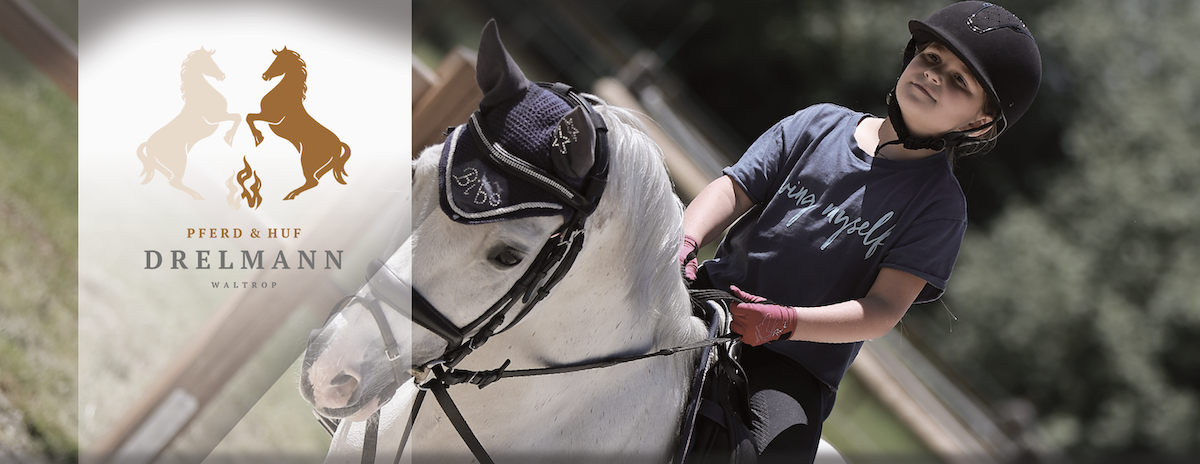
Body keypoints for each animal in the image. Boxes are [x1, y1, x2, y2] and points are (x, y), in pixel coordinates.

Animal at [136, 47, 240, 200]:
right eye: (206, 61)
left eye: (212, 59)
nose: (222, 76)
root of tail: (149, 144)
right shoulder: (214, 118)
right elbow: (238, 117)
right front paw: (228, 138)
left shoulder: (222, 115)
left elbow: (237, 117)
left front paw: (228, 138)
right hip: (180, 160)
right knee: (174, 181)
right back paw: (197, 195)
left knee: (169, 177)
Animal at [246, 47, 352, 201]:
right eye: (275, 59)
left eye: (280, 61)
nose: (264, 76)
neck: (285, 94)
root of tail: (338, 145)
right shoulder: (266, 116)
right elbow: (249, 117)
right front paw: (258, 137)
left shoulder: (272, 118)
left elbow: (249, 117)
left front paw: (258, 138)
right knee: (315, 180)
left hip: (308, 161)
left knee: (313, 181)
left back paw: (290, 195)